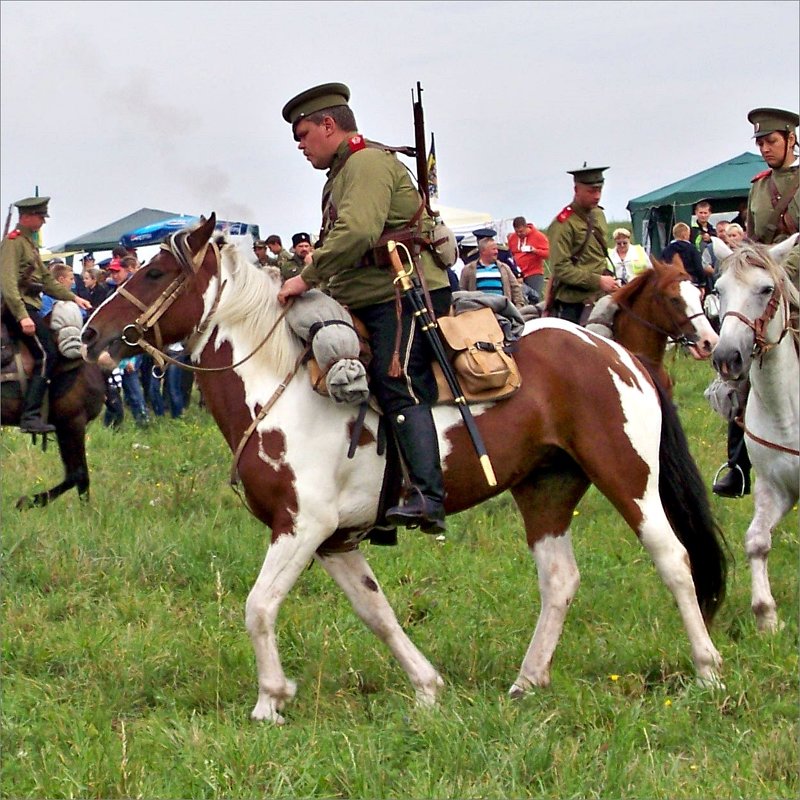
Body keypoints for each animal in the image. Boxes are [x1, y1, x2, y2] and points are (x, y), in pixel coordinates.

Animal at [84, 217, 728, 724]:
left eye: (153, 274)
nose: (92, 332)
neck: (278, 388)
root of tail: (619, 354)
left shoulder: (301, 527)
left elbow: (259, 606)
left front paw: (270, 700)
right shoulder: (334, 540)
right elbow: (377, 612)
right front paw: (426, 686)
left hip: (628, 478)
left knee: (674, 560)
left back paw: (707, 671)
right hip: (545, 488)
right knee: (559, 579)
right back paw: (527, 681)